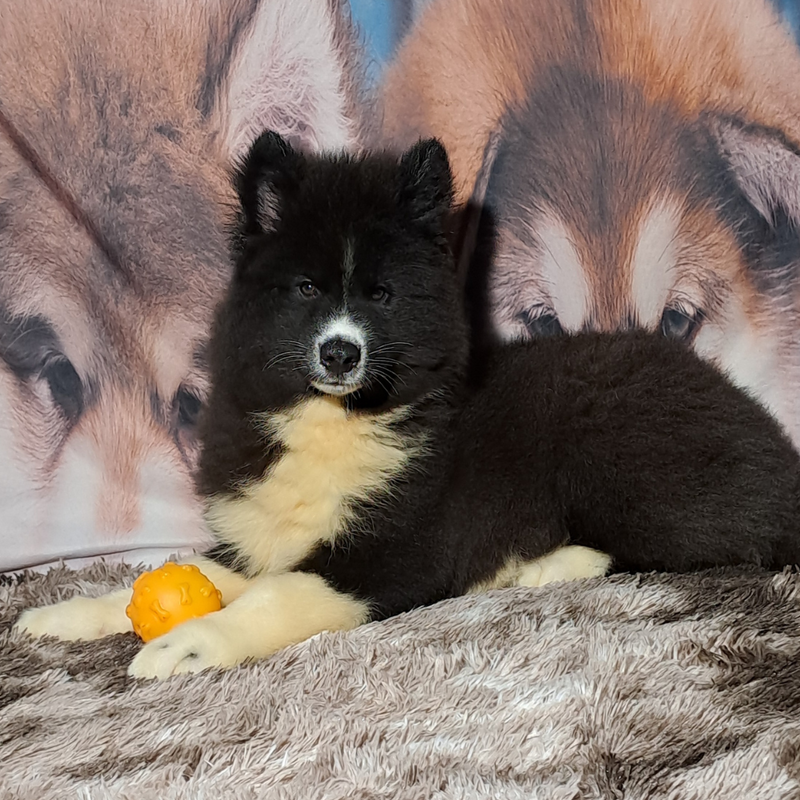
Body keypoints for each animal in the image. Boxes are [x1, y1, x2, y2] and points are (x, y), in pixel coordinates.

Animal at [15, 133, 800, 680]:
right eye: (306, 289)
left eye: (382, 296)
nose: (340, 353)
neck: (334, 421)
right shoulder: (267, 533)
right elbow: (203, 574)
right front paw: (65, 614)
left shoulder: (393, 548)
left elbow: (276, 597)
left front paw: (186, 645)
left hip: (627, 461)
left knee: (732, 537)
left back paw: (545, 565)